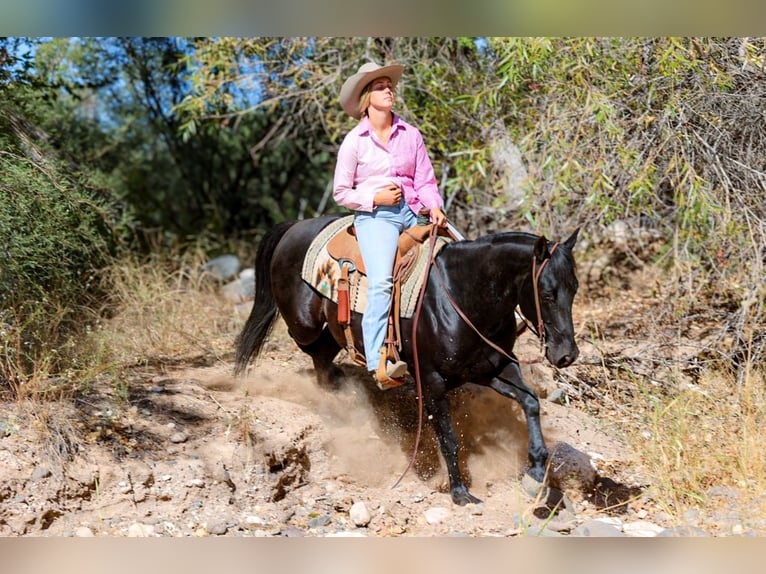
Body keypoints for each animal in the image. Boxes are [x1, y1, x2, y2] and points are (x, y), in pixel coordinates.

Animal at [236, 217, 584, 508]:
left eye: (574, 288)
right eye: (547, 293)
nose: (566, 354)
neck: (462, 297)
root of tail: (295, 226)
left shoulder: (493, 368)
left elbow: (531, 401)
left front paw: (536, 470)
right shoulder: (432, 379)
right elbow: (449, 436)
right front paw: (459, 492)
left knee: (323, 357)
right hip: (303, 324)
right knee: (312, 349)